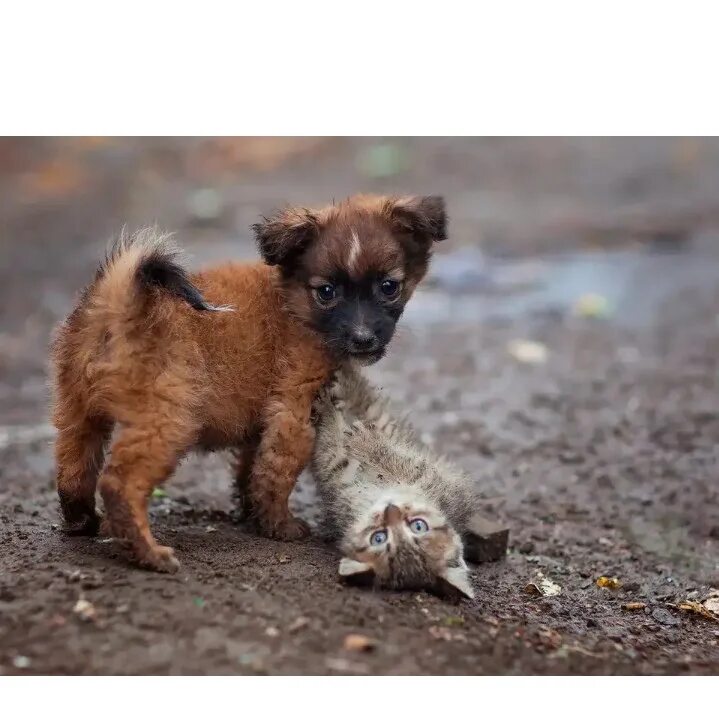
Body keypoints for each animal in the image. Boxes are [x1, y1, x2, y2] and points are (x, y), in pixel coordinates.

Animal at [50, 193, 444, 572]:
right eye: (327, 292)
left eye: (389, 287)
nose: (363, 339)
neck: (293, 303)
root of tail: (118, 305)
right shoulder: (294, 413)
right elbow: (277, 474)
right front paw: (279, 526)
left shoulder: (263, 423)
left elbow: (253, 470)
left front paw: (253, 516)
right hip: (167, 421)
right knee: (119, 484)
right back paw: (148, 553)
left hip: (77, 411)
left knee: (73, 470)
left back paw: (82, 521)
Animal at [310, 368, 484, 600]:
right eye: (419, 525)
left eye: (378, 538)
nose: (391, 511)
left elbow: (337, 447)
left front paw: (357, 435)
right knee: (363, 396)